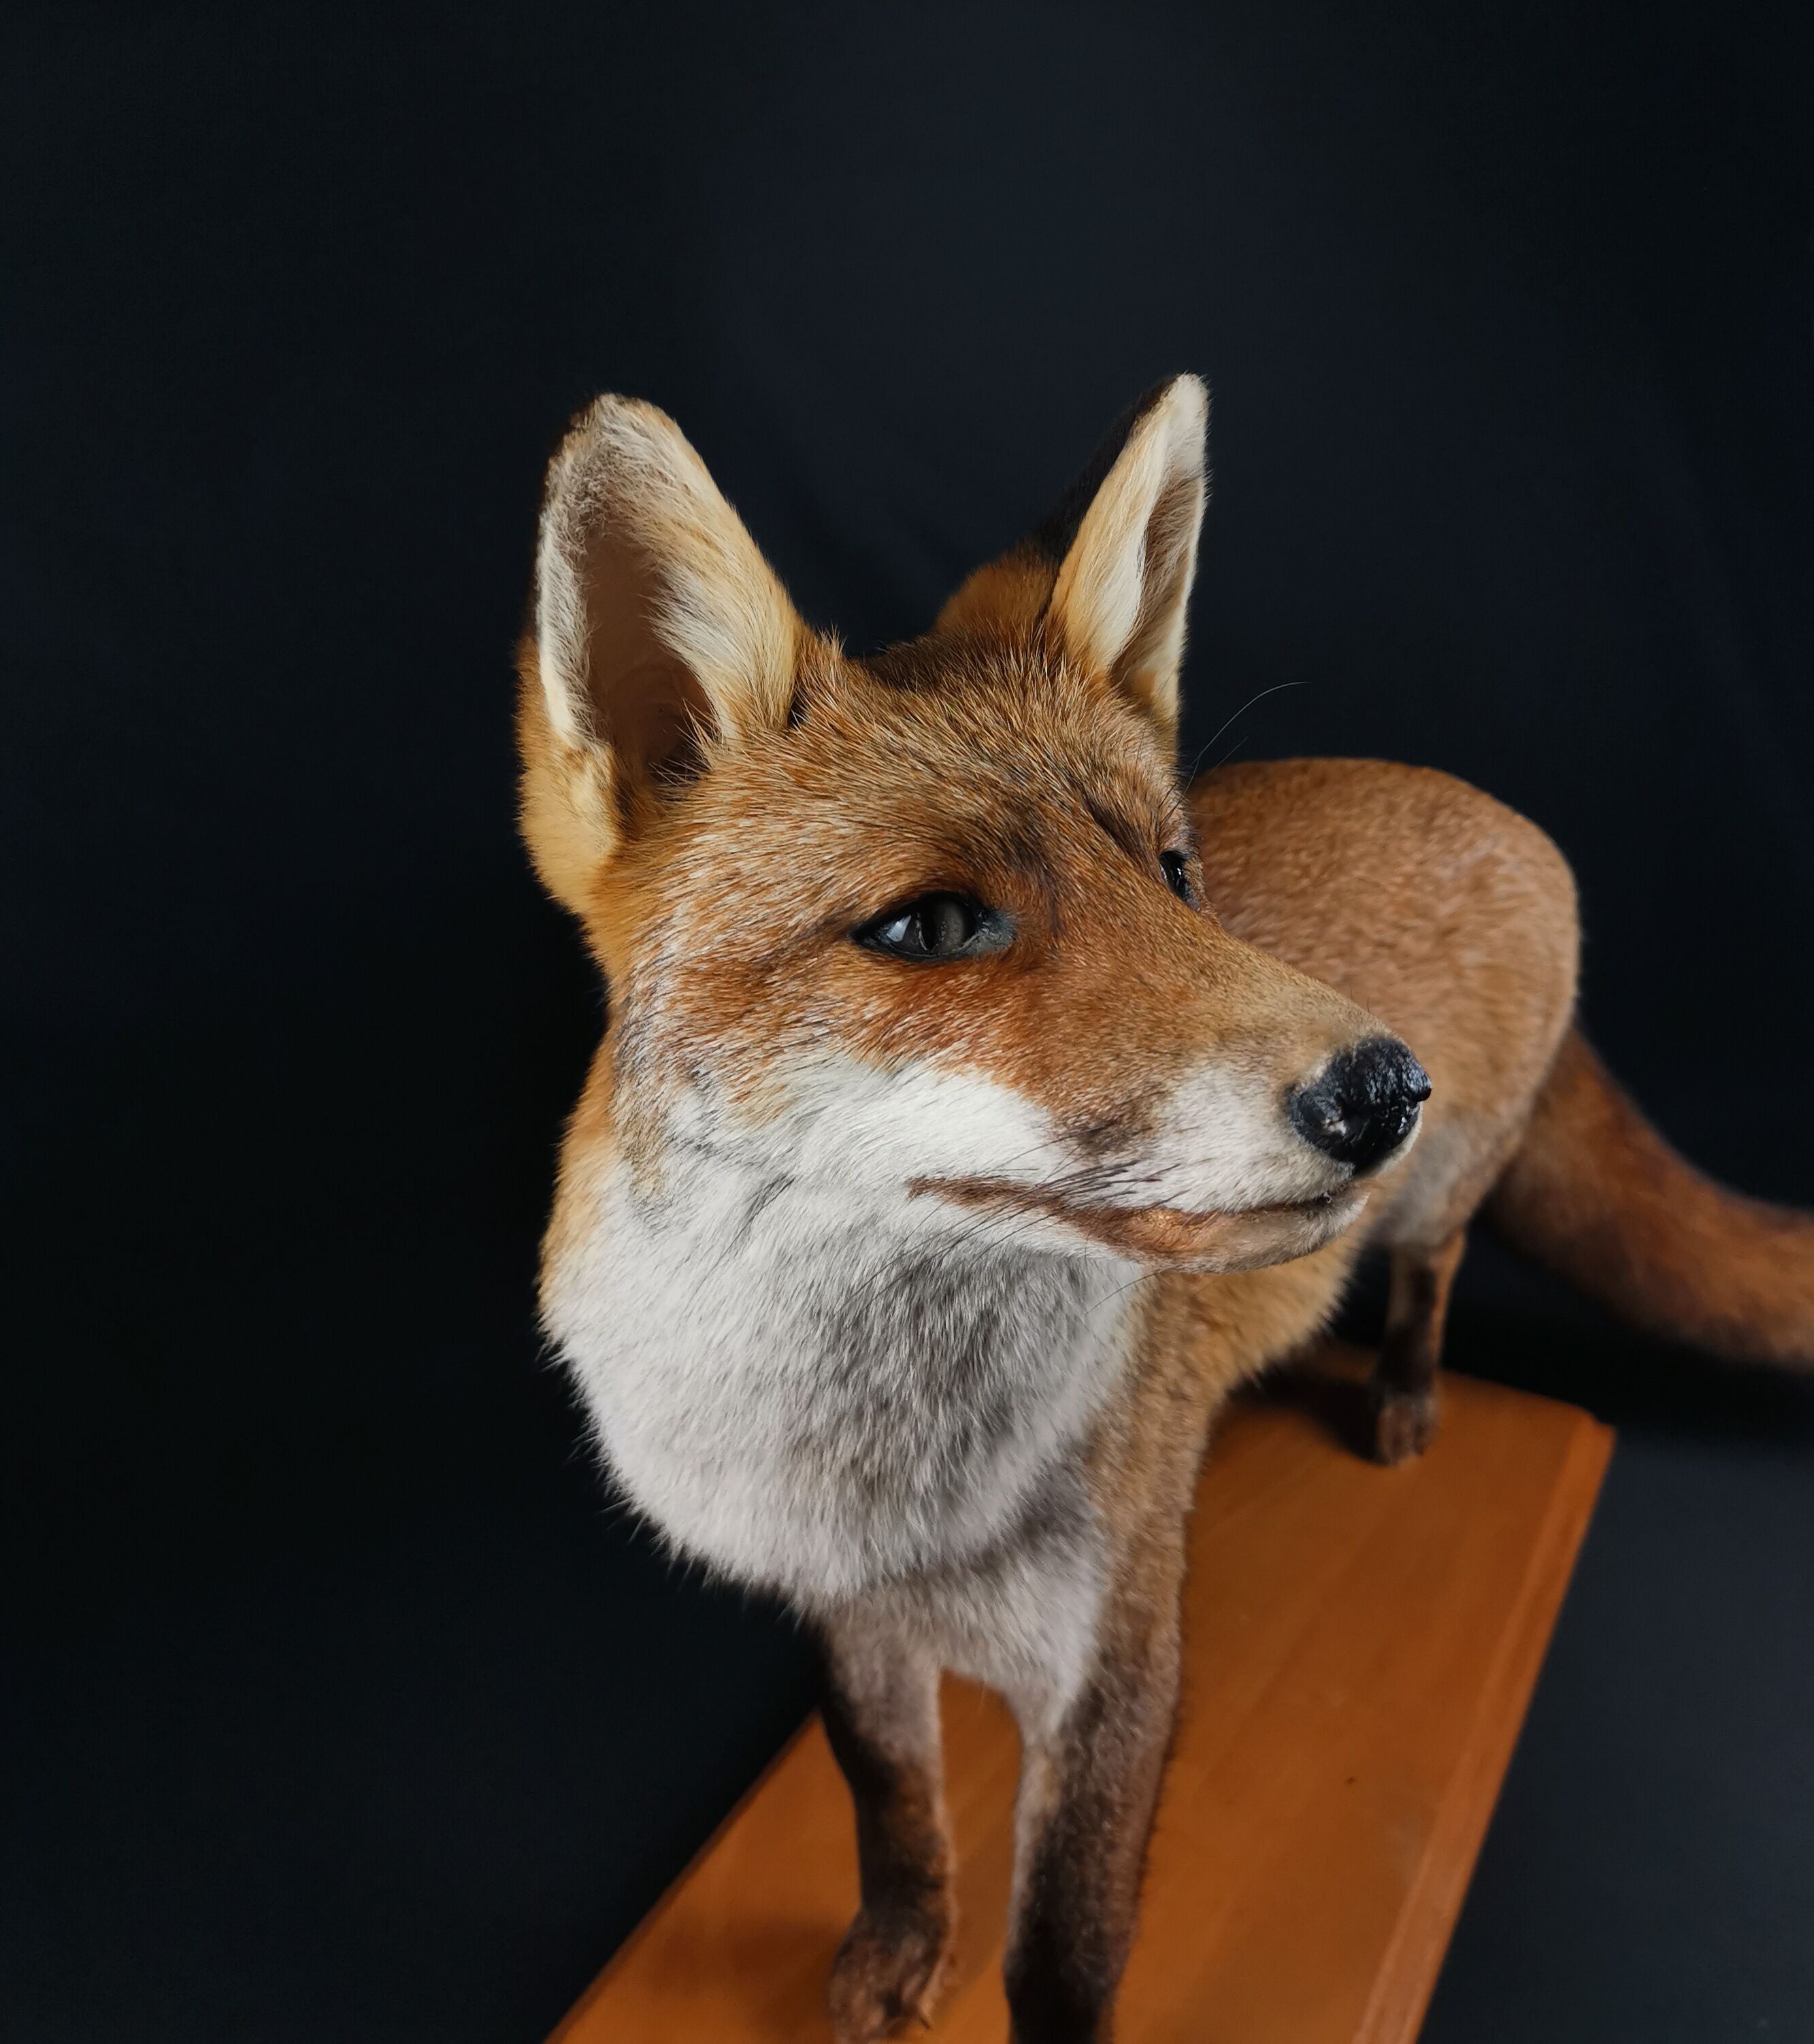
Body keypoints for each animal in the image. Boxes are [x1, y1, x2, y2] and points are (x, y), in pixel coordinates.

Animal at [516, 375, 1814, 2044]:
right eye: (932, 924)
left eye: (1176, 877)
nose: (1382, 1085)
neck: (889, 1493)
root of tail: (1491, 804)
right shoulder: (840, 1612)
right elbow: (888, 1799)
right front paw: (899, 1944)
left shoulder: (1117, 1659)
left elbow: (1062, 1961)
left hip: (1441, 1202)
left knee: (1434, 1265)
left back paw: (1404, 1398)